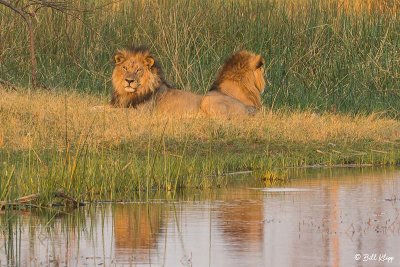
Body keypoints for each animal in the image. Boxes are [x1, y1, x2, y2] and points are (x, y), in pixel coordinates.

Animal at [109, 46, 266, 117]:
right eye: (124, 68)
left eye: (138, 70)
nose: (129, 81)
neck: (129, 93)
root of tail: (248, 107)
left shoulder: (142, 112)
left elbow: (112, 111)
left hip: (207, 101)